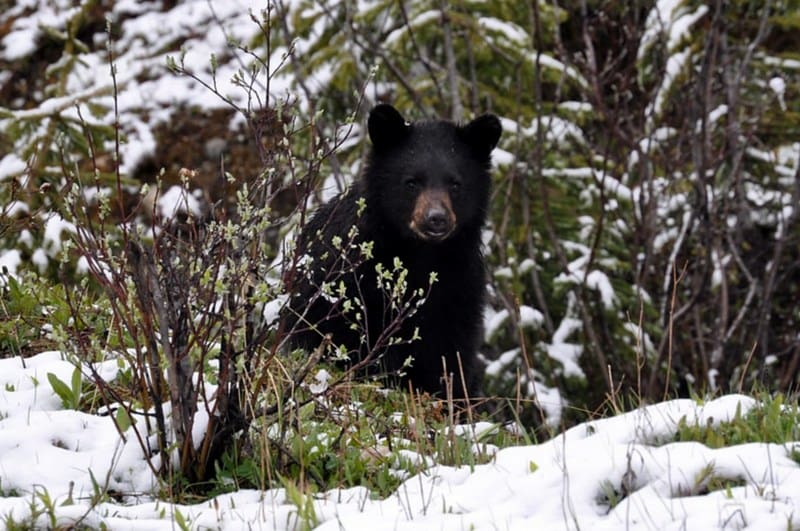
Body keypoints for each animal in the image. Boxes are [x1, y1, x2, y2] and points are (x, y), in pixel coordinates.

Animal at [282, 104, 501, 401]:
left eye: (455, 184)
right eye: (412, 182)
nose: (436, 219)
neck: (420, 254)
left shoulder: (459, 287)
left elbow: (450, 353)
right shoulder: (348, 276)